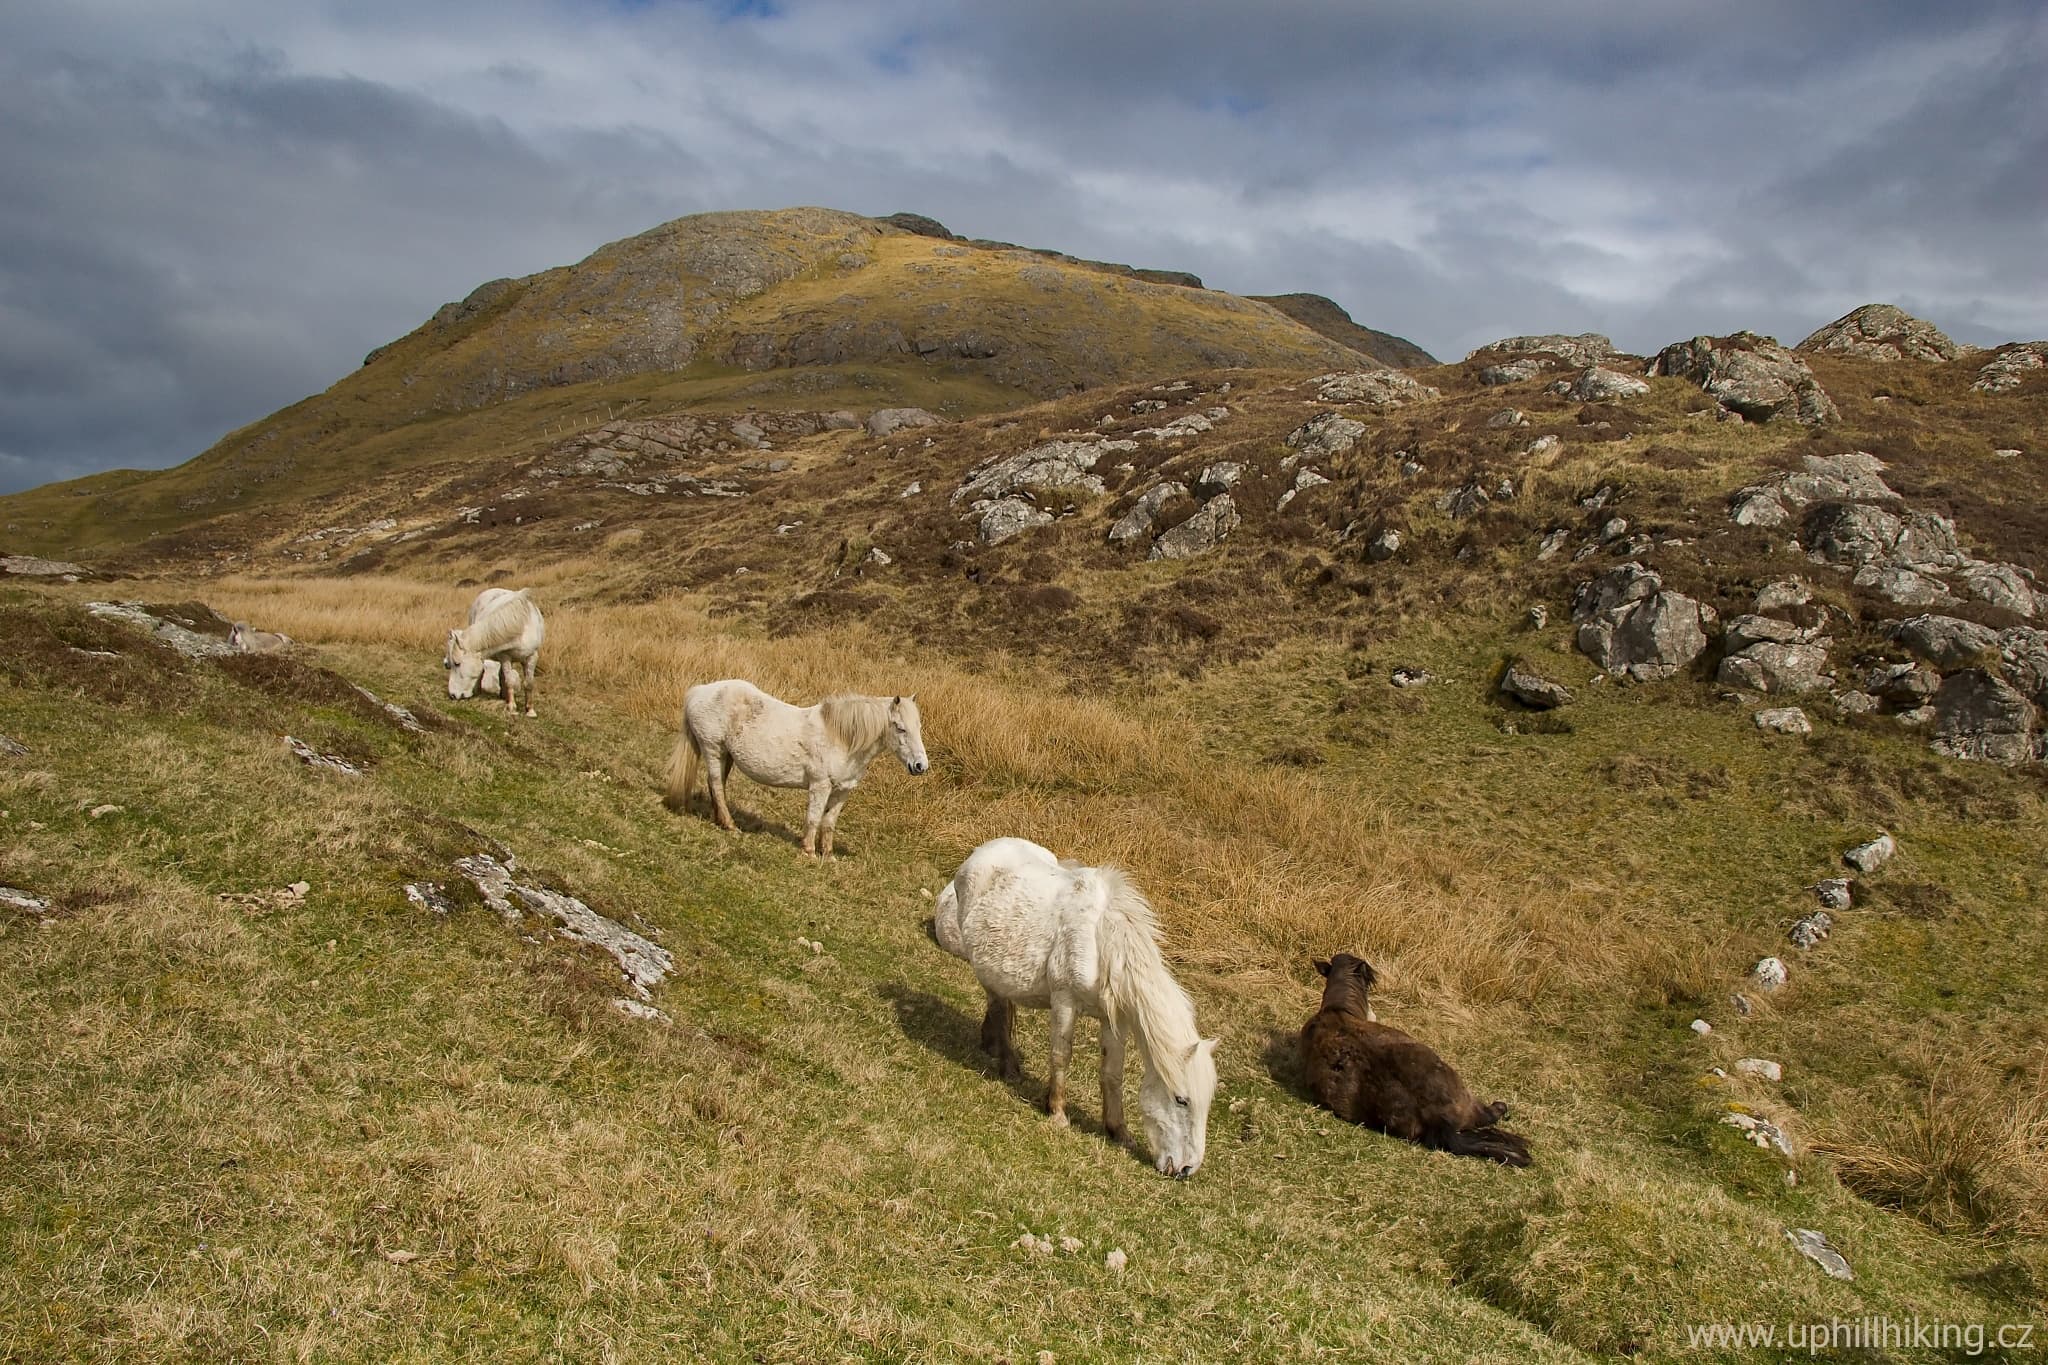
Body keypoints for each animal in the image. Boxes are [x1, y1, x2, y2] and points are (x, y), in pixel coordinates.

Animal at [442, 585, 544, 716]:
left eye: (457, 663)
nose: (453, 695)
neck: (520, 627)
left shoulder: (532, 656)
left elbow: (529, 683)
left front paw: (530, 710)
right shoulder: (505, 656)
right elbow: (509, 681)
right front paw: (511, 708)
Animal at [663, 679, 929, 859]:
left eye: (919, 727)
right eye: (900, 728)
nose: (920, 766)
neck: (842, 739)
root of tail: (699, 691)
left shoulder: (843, 791)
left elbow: (828, 822)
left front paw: (828, 855)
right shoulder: (820, 786)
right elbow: (814, 817)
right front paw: (809, 851)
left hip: (725, 755)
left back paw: (720, 820)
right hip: (713, 749)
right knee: (717, 785)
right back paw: (730, 825)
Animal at [937, 839, 1220, 1178]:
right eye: (1181, 1100)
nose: (1186, 1168)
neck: (1103, 942)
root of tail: (982, 851)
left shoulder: (1115, 1019)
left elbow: (1112, 1072)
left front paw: (1118, 1131)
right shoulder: (1064, 1001)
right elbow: (1061, 1056)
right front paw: (1057, 1112)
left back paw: (990, 1045)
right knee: (998, 1006)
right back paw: (1007, 1063)